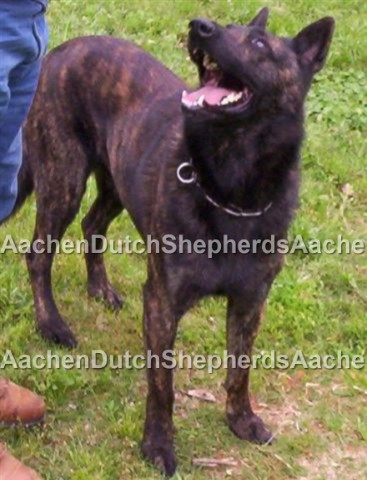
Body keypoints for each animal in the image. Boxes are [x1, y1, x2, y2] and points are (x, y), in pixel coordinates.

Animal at [12, 7, 336, 476]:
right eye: (228, 28)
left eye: (259, 43)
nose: (200, 25)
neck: (231, 187)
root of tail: (61, 50)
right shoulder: (162, 302)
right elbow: (162, 385)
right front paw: (157, 445)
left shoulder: (250, 301)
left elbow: (240, 370)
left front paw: (241, 420)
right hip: (63, 178)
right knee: (39, 255)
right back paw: (51, 324)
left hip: (117, 183)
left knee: (92, 225)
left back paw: (100, 289)